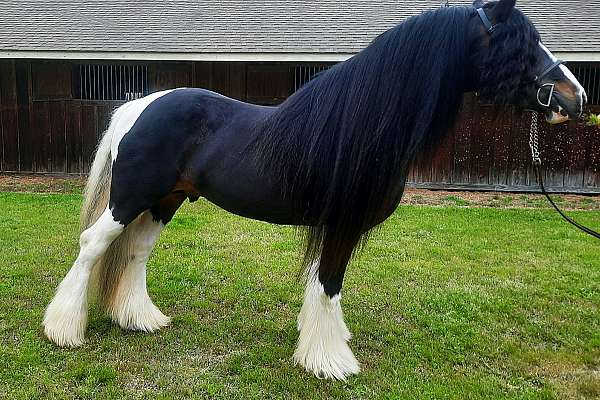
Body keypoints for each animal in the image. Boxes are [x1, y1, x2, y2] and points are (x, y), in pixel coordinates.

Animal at [44, 0, 588, 382]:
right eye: (519, 45)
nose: (575, 97)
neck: (363, 125)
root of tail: (139, 106)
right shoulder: (342, 223)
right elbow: (327, 283)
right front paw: (330, 361)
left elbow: (329, 287)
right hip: (130, 198)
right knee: (93, 245)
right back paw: (63, 329)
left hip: (165, 201)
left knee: (136, 252)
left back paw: (140, 319)